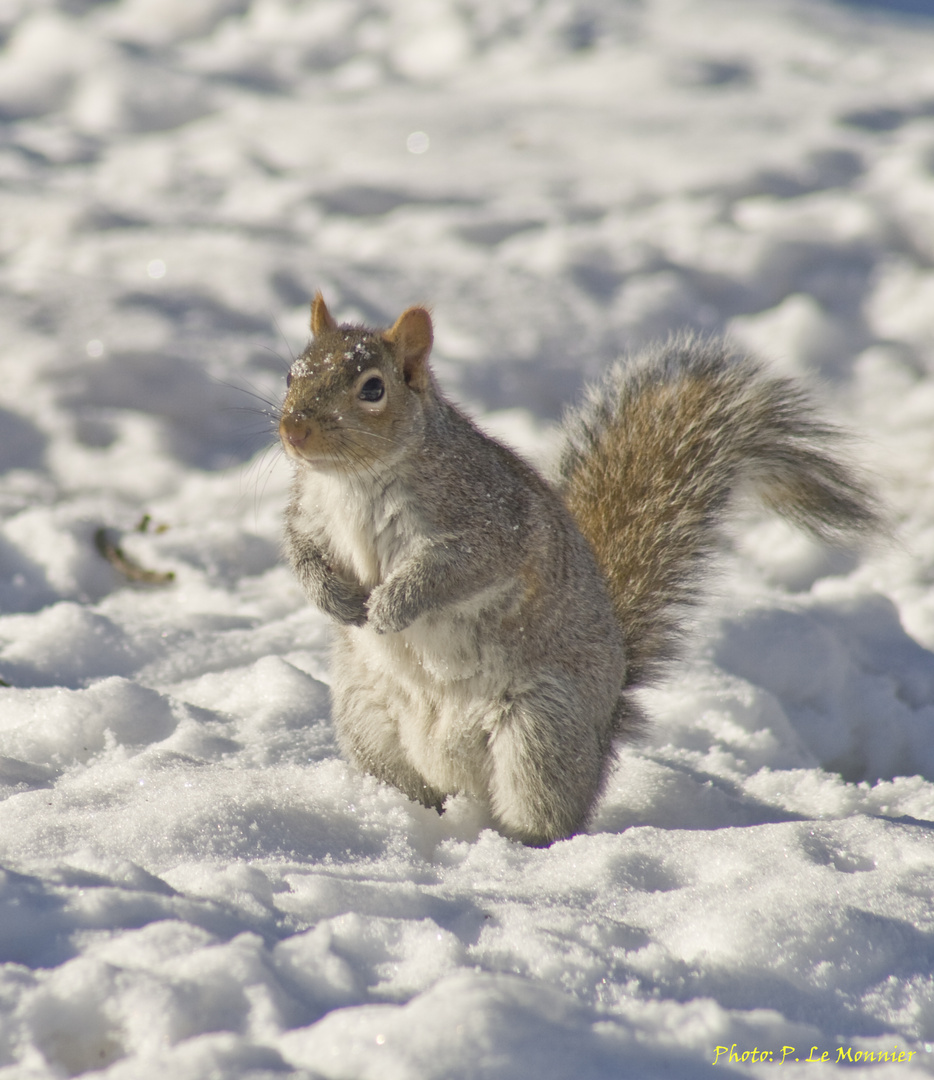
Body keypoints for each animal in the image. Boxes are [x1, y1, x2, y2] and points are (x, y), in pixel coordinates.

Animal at [275, 293, 872, 842]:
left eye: (373, 388)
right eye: (290, 374)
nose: (293, 430)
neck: (355, 481)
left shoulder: (489, 523)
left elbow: (454, 569)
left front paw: (391, 605)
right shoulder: (309, 516)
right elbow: (301, 554)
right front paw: (335, 599)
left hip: (541, 735)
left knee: (544, 811)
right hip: (367, 723)